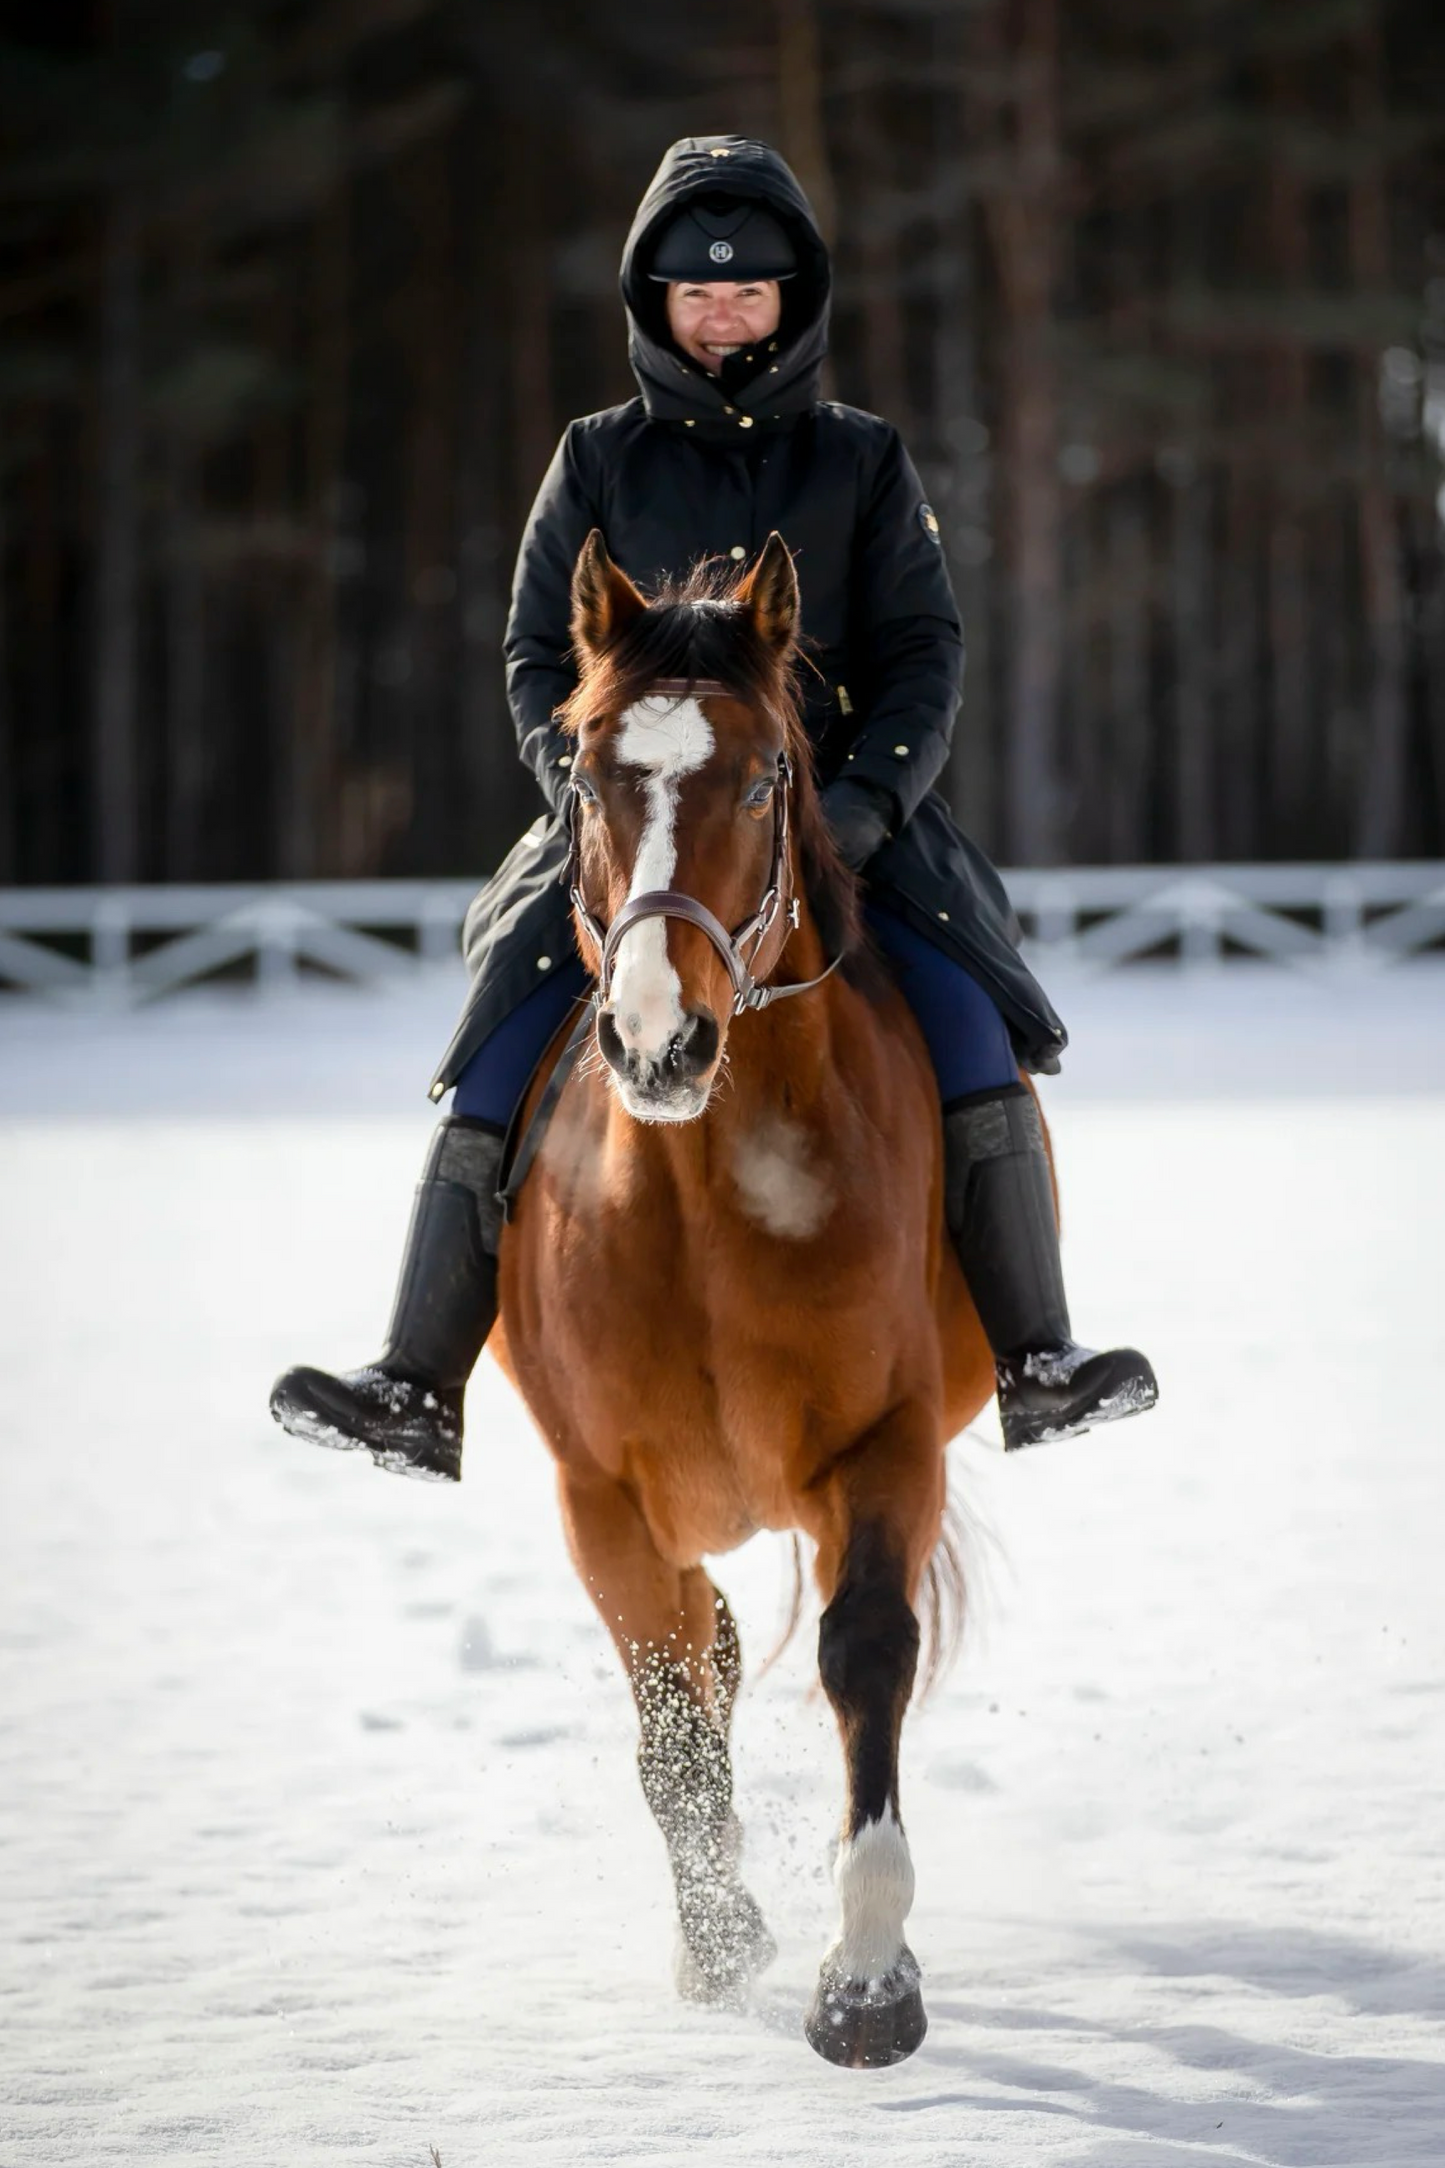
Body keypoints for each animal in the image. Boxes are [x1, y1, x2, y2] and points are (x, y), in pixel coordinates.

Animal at [498, 528, 1018, 2063]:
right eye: (585, 770)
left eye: (766, 774)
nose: (657, 1041)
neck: (700, 1197)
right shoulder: (600, 1495)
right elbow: (671, 1708)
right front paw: (719, 1937)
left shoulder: (882, 1448)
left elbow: (863, 1657)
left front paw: (867, 1983)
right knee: (703, 1656)